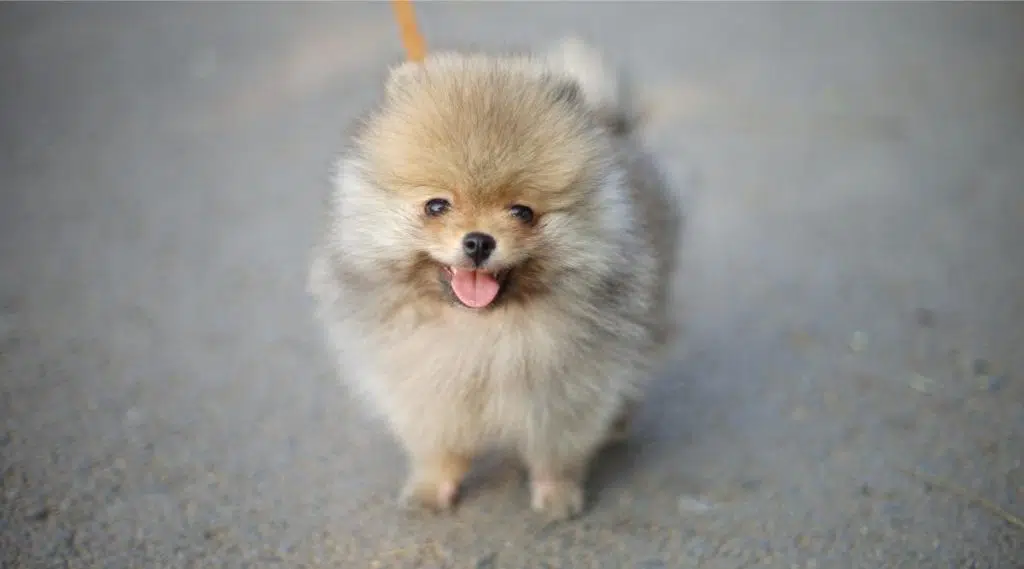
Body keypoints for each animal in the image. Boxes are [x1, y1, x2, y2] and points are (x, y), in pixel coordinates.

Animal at [307, 38, 684, 519]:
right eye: (436, 206)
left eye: (522, 211)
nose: (478, 241)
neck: (481, 329)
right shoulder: (424, 386)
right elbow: (439, 445)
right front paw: (431, 489)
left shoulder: (567, 391)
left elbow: (556, 449)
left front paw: (557, 495)